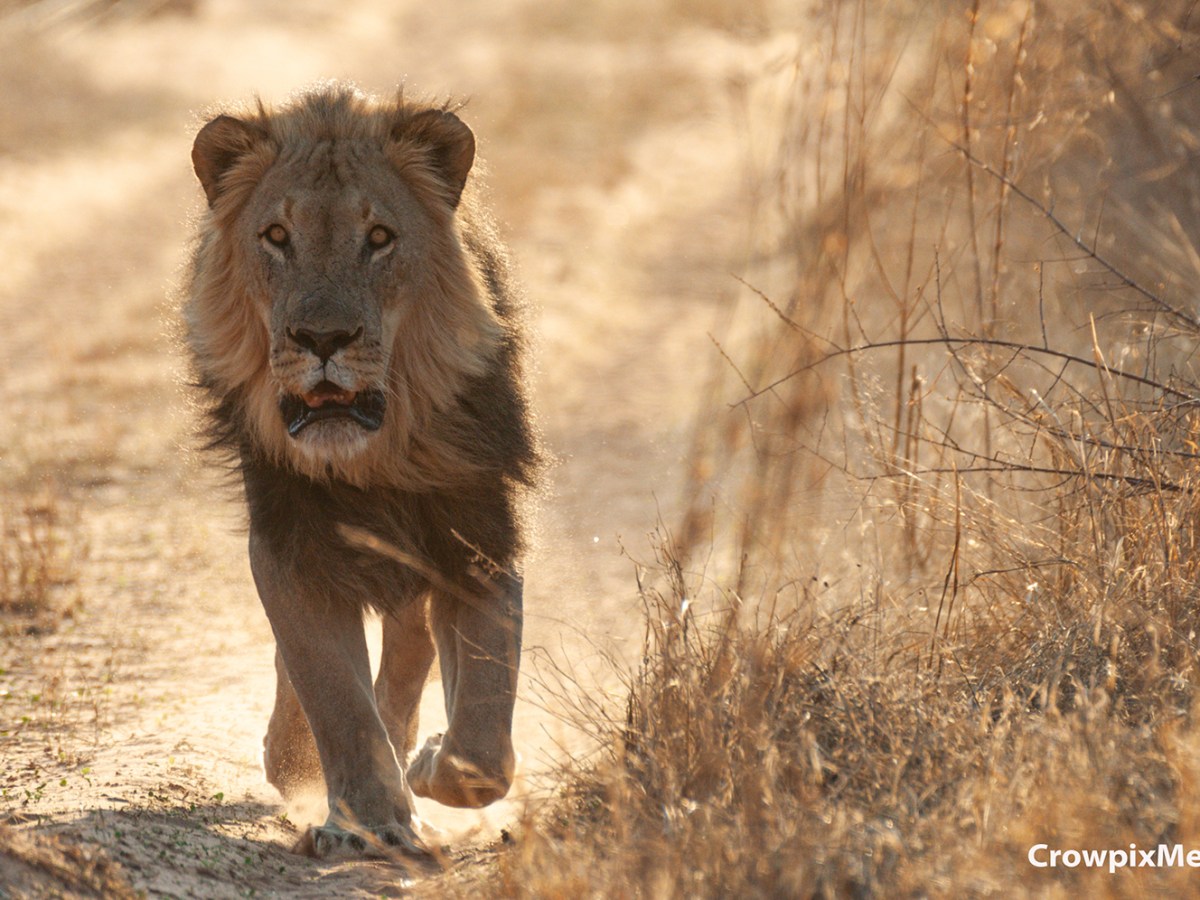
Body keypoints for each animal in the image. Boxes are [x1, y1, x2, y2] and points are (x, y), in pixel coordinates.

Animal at [183, 84, 538, 859]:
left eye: (379, 238)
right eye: (275, 236)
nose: (324, 338)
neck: (375, 457)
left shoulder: (477, 533)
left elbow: (485, 724)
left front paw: (430, 767)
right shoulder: (290, 542)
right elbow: (332, 692)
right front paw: (370, 821)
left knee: (408, 651)